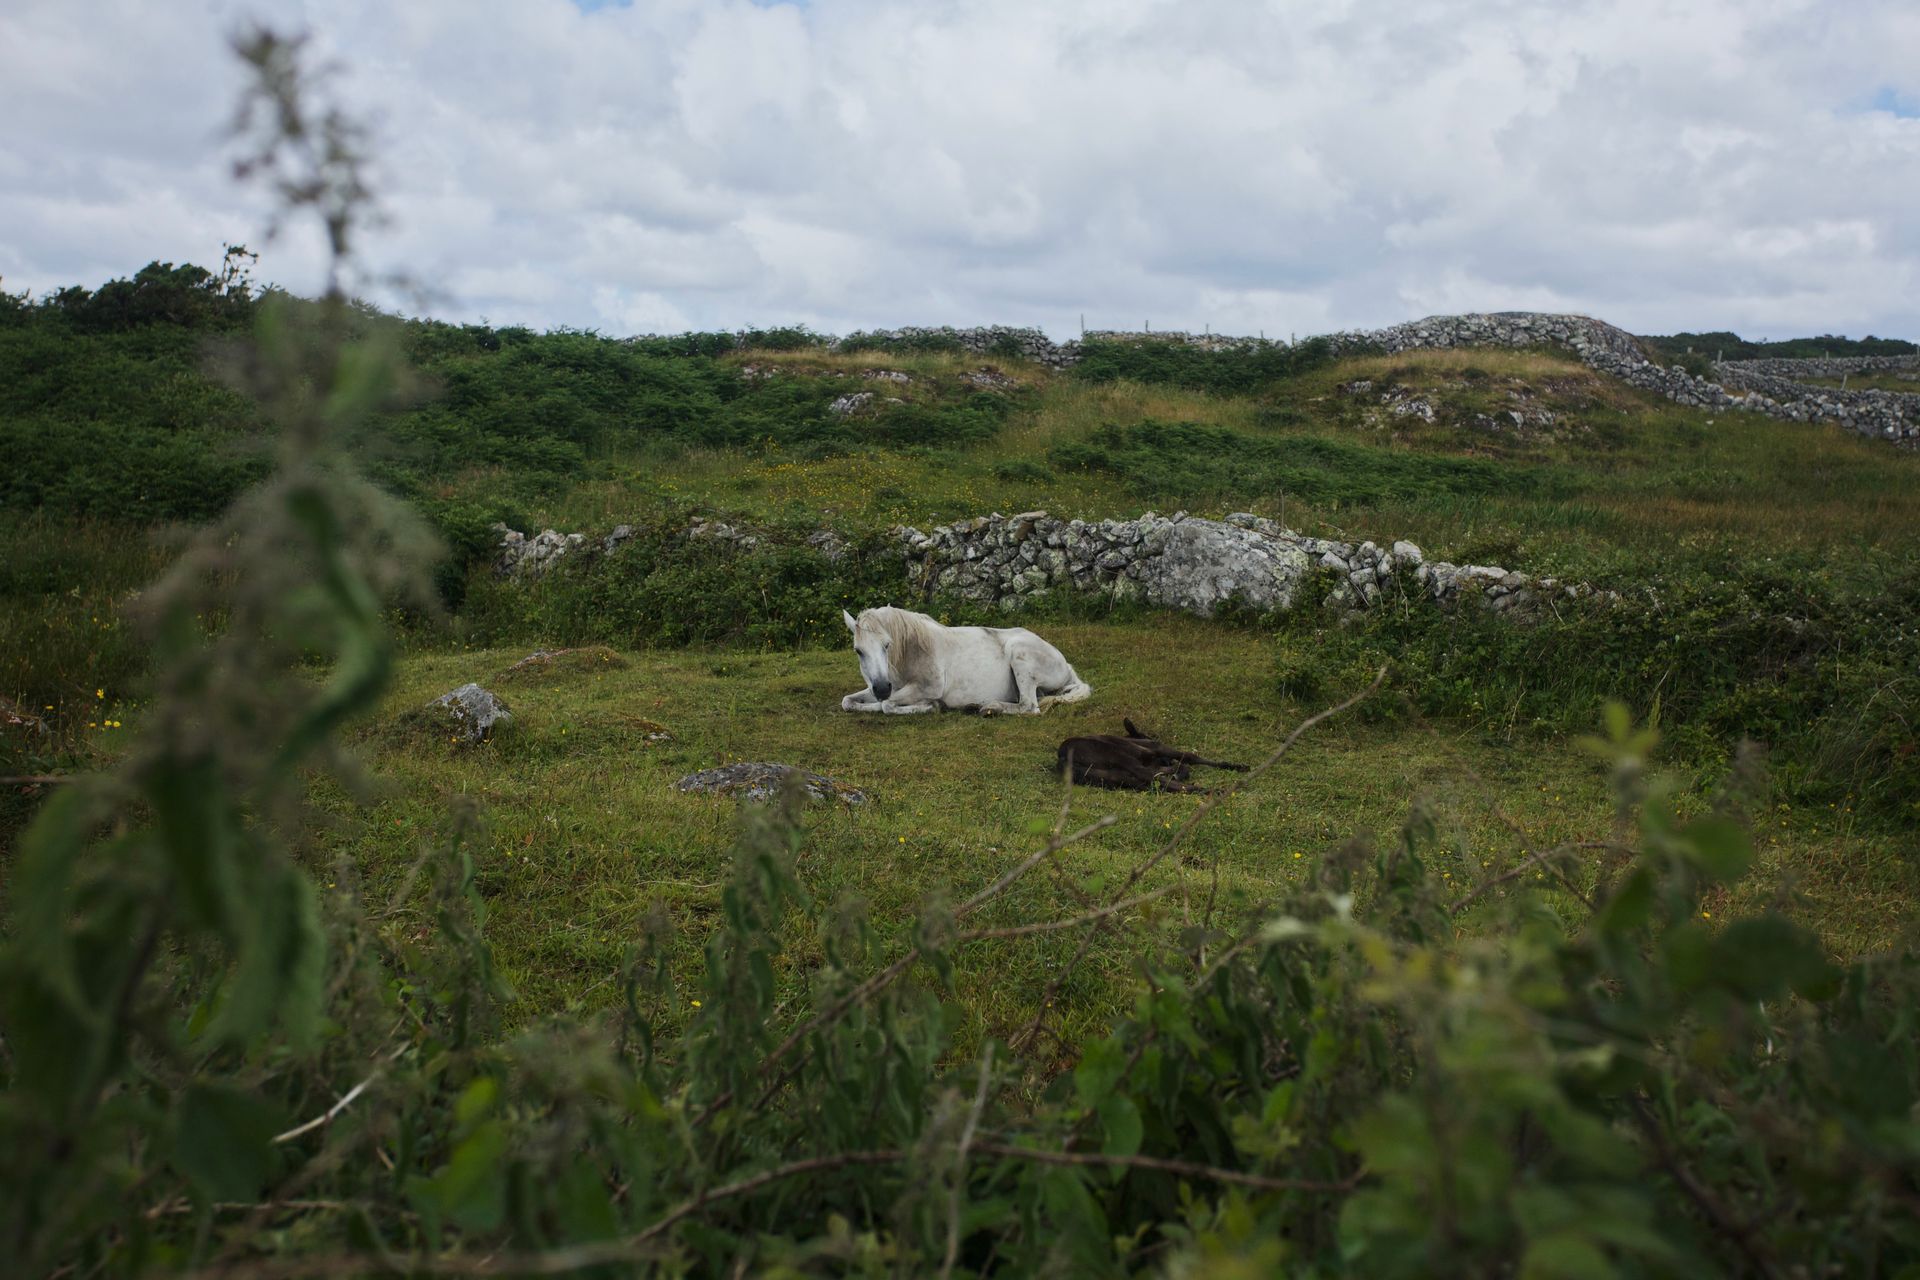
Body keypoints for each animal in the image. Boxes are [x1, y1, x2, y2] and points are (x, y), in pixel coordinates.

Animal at [839, 606, 1092, 715]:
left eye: (887, 644)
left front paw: (931, 706)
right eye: (858, 651)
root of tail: (1065, 665)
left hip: (1020, 655)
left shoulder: (927, 687)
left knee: (1029, 707)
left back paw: (989, 707)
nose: (882, 688)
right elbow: (848, 701)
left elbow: (888, 705)